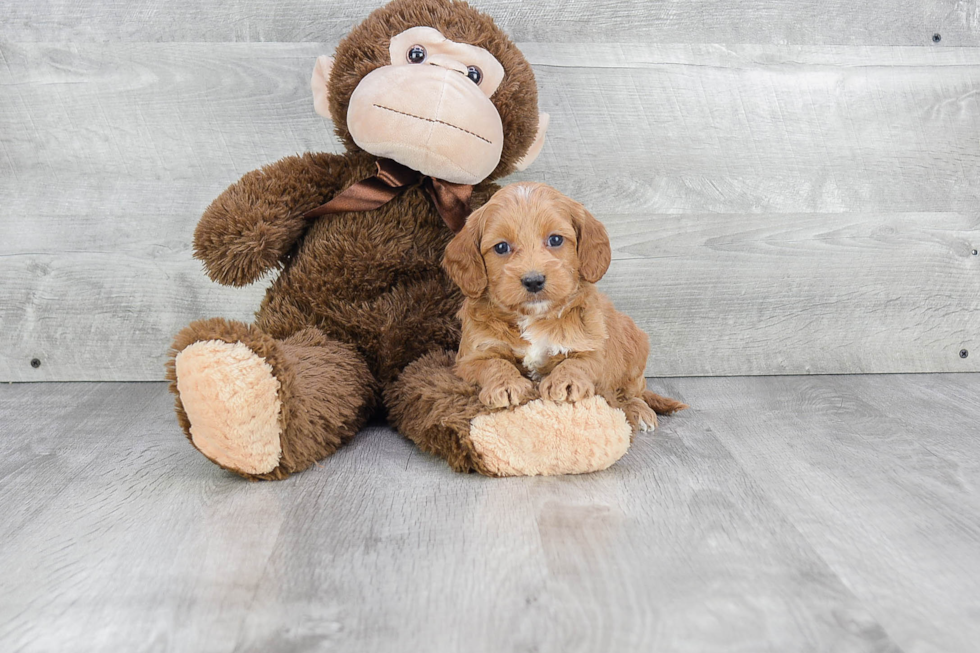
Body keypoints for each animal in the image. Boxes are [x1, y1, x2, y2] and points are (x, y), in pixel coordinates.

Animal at [440, 181, 684, 430]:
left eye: (555, 240)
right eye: (501, 247)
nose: (534, 280)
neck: (533, 317)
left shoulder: (592, 347)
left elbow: (577, 362)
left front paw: (565, 382)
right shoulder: (470, 358)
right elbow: (493, 363)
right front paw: (506, 384)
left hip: (635, 346)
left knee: (632, 391)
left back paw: (639, 409)